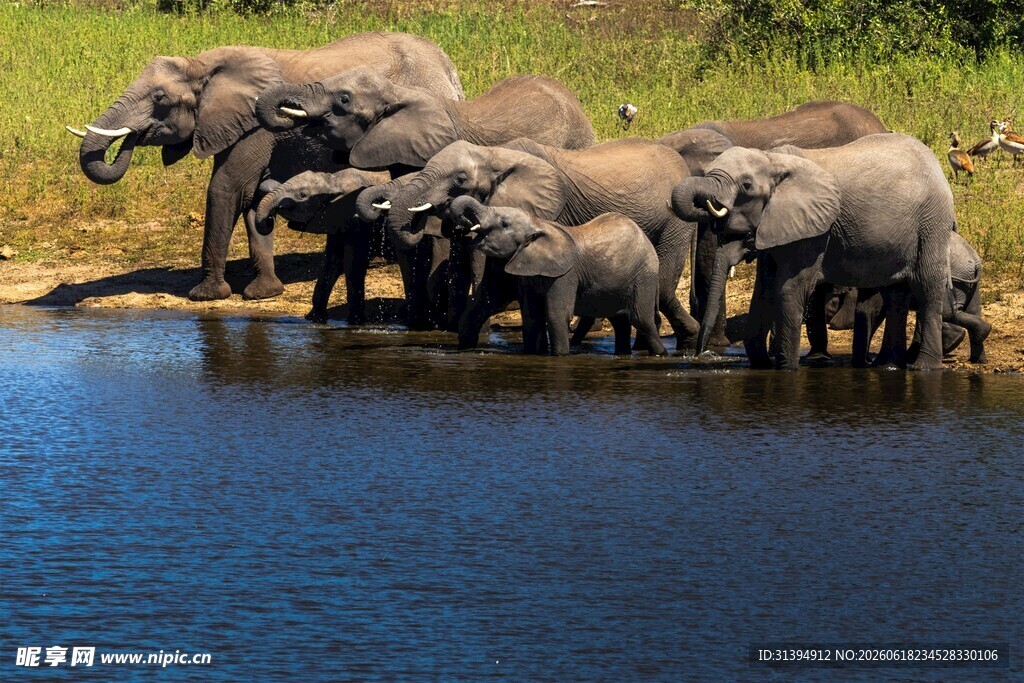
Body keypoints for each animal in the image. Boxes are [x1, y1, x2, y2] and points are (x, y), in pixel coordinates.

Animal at [68, 32, 463, 302]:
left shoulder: (253, 128)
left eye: (159, 98)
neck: (203, 64)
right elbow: (253, 195)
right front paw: (264, 292)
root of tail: (448, 68)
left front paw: (206, 295)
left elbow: (227, 188)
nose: (133, 137)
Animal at [254, 168, 391, 324]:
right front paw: (315, 319)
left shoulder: (362, 222)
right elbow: (332, 262)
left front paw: (356, 322)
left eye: (302, 195)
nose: (270, 218)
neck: (334, 180)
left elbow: (353, 264)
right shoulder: (336, 220)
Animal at [448, 197, 665, 356]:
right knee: (620, 322)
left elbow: (556, 315)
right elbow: (531, 315)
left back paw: (660, 354)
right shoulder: (527, 274)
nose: (462, 226)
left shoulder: (565, 275)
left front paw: (559, 357)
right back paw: (623, 355)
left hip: (644, 276)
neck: (538, 223)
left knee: (641, 319)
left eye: (504, 224)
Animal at [671, 133, 954, 371]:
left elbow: (789, 288)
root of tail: (936, 164)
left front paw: (785, 369)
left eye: (747, 185)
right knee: (896, 293)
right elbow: (763, 290)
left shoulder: (815, 229)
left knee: (927, 286)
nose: (701, 355)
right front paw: (762, 365)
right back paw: (888, 366)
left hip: (932, 222)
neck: (773, 160)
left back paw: (924, 367)